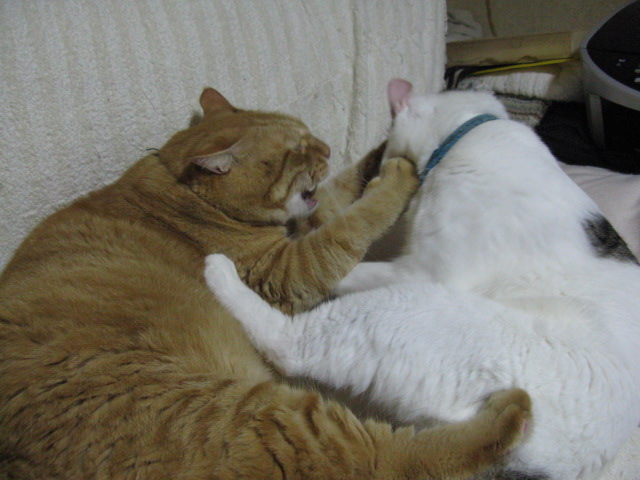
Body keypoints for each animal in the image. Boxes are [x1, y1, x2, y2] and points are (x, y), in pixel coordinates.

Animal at [0, 87, 530, 479]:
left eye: (308, 136)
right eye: (294, 152)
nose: (326, 147)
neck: (179, 187)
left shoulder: (308, 219)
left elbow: (342, 191)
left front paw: (382, 150)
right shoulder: (287, 269)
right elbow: (356, 221)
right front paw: (398, 171)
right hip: (269, 419)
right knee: (391, 458)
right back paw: (514, 409)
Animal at [204, 80, 640, 480]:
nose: (379, 167)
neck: (472, 127)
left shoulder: (423, 268)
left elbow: (344, 270)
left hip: (410, 309)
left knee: (289, 344)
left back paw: (221, 273)